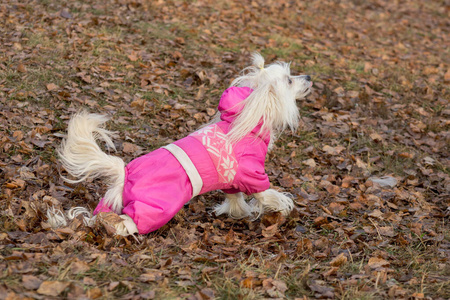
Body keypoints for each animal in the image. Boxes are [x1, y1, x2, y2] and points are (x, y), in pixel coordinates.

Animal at [52, 54, 312, 236]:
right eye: (289, 80)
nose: (309, 77)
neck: (246, 117)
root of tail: (124, 173)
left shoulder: (232, 179)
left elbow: (234, 198)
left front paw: (238, 212)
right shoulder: (253, 174)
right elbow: (266, 195)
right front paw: (283, 205)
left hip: (111, 201)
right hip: (155, 207)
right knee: (123, 224)